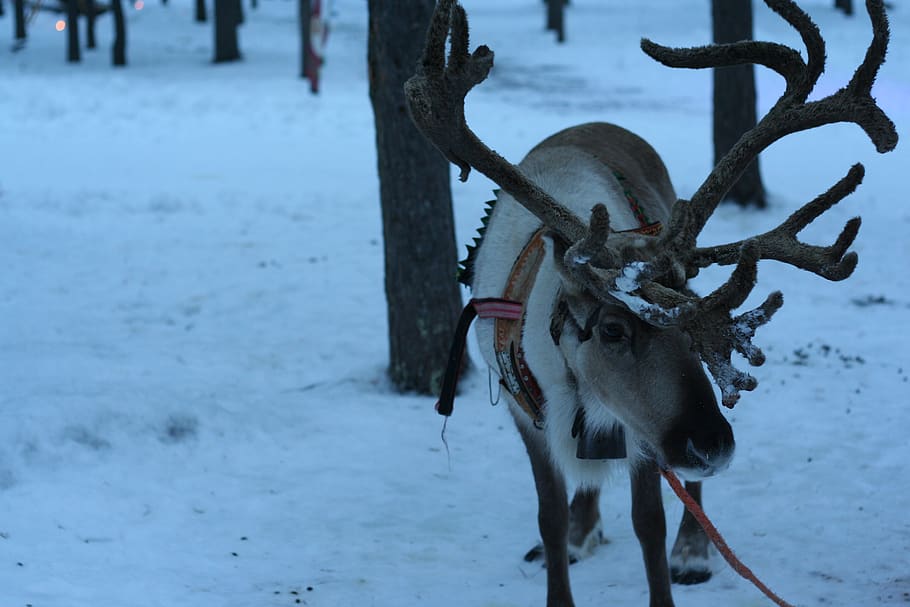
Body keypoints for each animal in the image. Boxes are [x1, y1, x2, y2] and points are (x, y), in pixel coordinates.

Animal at [405, 1, 898, 606]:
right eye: (614, 330)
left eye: (699, 331)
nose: (711, 444)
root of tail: (603, 123)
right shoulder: (528, 418)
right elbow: (548, 515)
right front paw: (563, 546)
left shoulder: (644, 434)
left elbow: (649, 524)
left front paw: (673, 559)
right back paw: (582, 531)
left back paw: (692, 550)